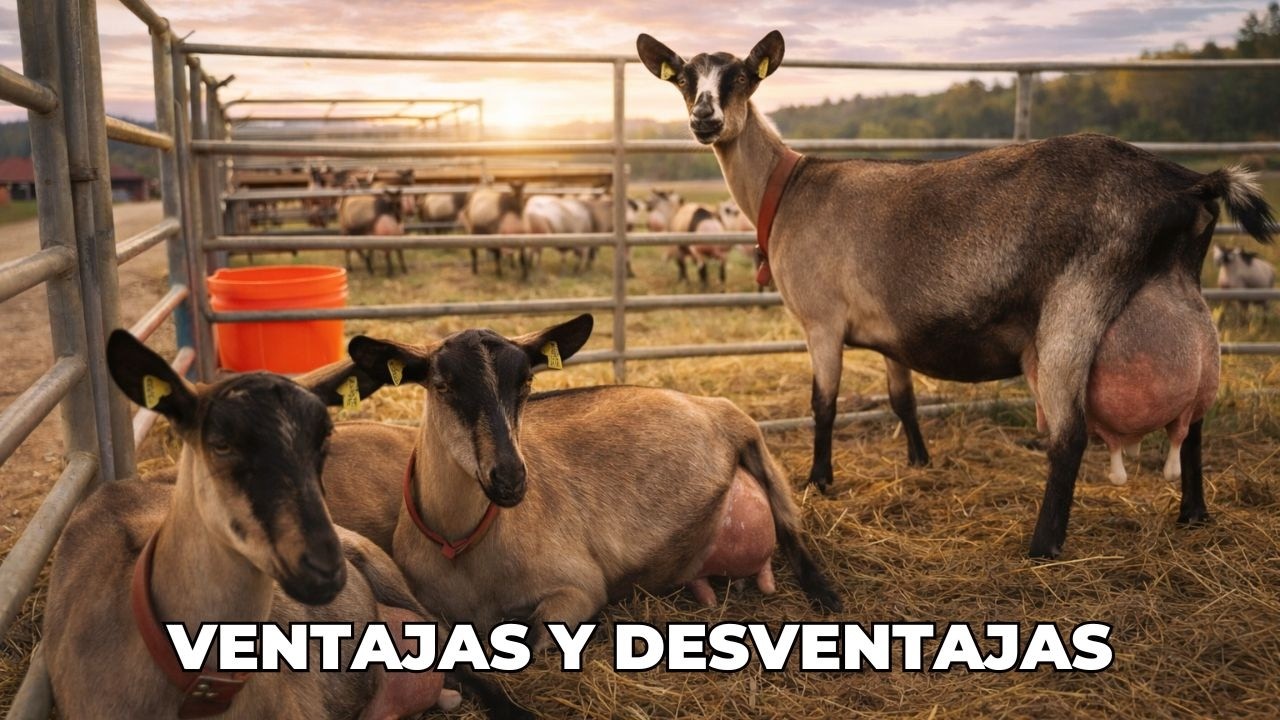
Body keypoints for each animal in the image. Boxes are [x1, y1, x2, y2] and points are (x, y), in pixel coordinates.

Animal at [320, 314, 841, 652]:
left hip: (752, 438)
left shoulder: (578, 587)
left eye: (527, 384)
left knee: (790, 526)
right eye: (443, 387)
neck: (463, 545)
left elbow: (535, 639)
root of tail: (704, 404)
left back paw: (826, 593)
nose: (510, 477)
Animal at [638, 30, 1276, 558]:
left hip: (1078, 302)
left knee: (1069, 435)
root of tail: (1188, 184)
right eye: (685, 79)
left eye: (743, 76)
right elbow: (903, 400)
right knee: (1194, 418)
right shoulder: (889, 335)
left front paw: (819, 480)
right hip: (1180, 297)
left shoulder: (822, 321)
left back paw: (1042, 545)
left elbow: (824, 404)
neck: (787, 186)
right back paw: (1193, 512)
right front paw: (919, 461)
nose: (704, 119)